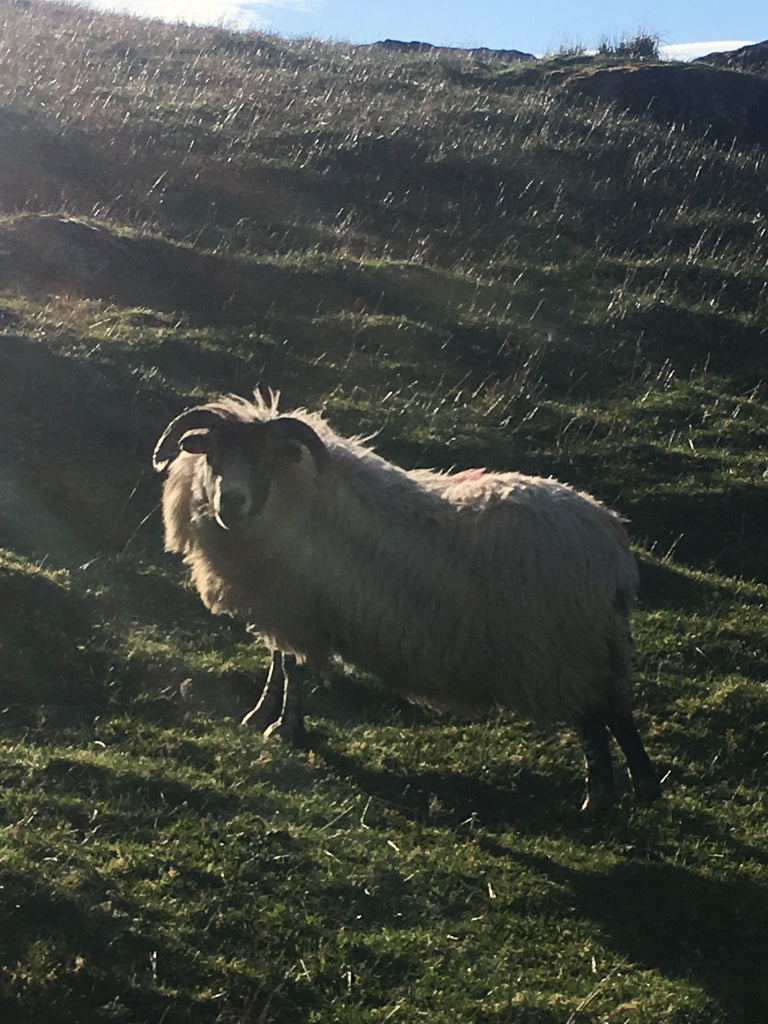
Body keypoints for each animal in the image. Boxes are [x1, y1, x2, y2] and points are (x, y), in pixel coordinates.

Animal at [151, 387, 663, 811]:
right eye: (215, 456)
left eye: (266, 459)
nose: (231, 503)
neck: (299, 499)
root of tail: (612, 542)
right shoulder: (283, 605)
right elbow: (279, 660)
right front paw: (261, 714)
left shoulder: (299, 606)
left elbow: (294, 668)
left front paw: (285, 727)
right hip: (592, 646)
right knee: (617, 712)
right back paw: (642, 788)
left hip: (566, 649)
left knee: (596, 720)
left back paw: (598, 799)